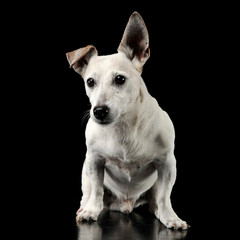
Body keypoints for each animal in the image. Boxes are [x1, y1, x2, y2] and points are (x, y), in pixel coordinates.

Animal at [66, 11, 188, 231]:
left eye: (120, 79)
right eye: (90, 82)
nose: (99, 111)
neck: (123, 127)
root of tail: (125, 204)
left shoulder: (167, 164)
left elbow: (165, 197)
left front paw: (171, 218)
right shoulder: (94, 160)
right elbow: (97, 190)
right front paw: (91, 210)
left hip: (154, 184)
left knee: (156, 201)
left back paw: (159, 212)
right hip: (85, 171)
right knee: (89, 193)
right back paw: (85, 208)